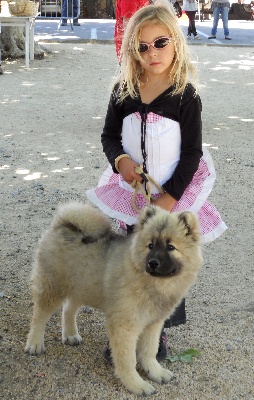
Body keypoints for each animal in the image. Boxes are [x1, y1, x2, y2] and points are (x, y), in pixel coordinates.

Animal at [24, 202, 202, 396]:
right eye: (150, 245)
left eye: (170, 247)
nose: (153, 263)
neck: (154, 283)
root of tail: (61, 225)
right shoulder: (125, 325)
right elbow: (127, 359)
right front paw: (136, 384)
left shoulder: (153, 324)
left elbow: (149, 351)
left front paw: (155, 372)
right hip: (52, 288)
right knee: (39, 317)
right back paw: (34, 344)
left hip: (83, 286)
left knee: (68, 309)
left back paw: (70, 335)